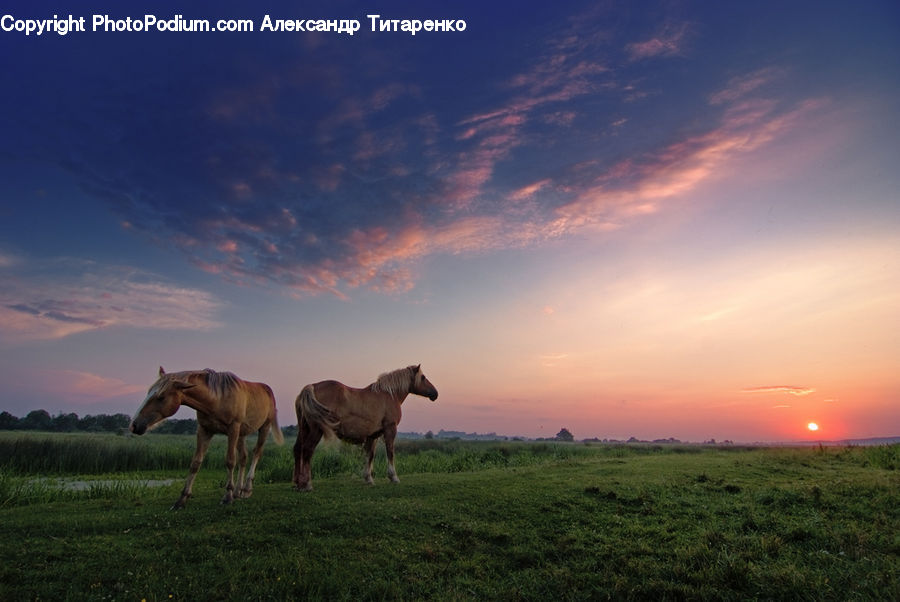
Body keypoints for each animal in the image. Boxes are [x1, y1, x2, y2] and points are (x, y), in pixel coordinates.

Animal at [130, 366, 284, 506]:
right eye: (148, 393)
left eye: (161, 397)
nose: (134, 425)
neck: (217, 399)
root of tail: (268, 390)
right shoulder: (204, 430)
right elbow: (195, 463)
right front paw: (182, 499)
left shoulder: (233, 429)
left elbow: (230, 461)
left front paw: (227, 496)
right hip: (242, 434)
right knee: (244, 457)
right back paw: (238, 491)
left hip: (264, 428)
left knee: (256, 453)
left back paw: (246, 489)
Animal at [294, 364, 438, 490]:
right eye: (423, 377)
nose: (435, 393)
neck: (389, 395)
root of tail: (311, 387)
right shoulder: (390, 429)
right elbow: (390, 452)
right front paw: (393, 477)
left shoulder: (373, 435)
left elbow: (370, 455)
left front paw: (368, 479)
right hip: (316, 431)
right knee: (307, 450)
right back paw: (307, 485)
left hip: (303, 429)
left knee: (298, 449)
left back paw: (297, 484)